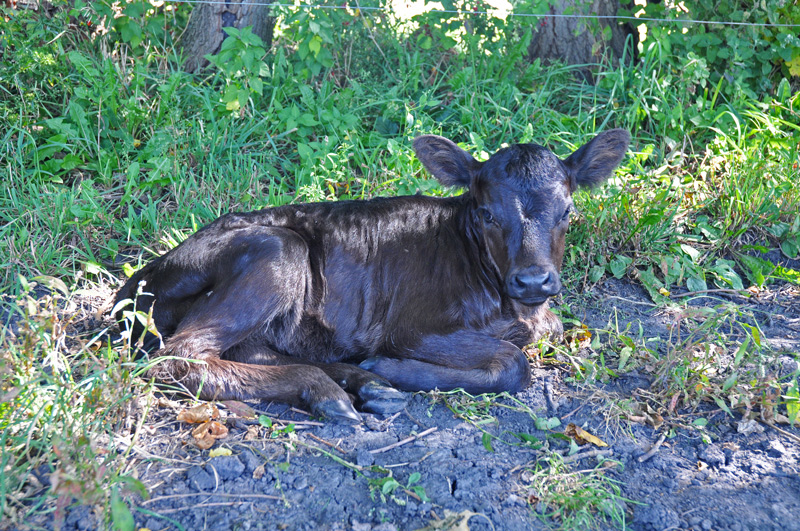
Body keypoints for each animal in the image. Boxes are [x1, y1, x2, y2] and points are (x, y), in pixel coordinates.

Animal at [114, 130, 629, 422]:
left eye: (568, 211)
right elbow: (514, 362)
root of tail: (132, 287)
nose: (533, 281)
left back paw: (361, 386)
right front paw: (393, 368)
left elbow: (550, 332)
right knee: (180, 357)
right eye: (486, 214)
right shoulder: (414, 328)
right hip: (279, 252)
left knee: (251, 351)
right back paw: (336, 389)